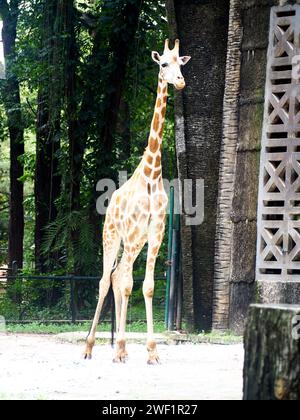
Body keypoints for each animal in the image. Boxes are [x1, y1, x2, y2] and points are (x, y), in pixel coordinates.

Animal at [84, 37, 190, 362]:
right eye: (163, 64)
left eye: (181, 64)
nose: (180, 81)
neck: (151, 174)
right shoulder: (131, 235)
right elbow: (128, 285)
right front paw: (124, 347)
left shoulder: (155, 234)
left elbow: (148, 287)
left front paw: (151, 351)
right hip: (112, 238)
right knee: (107, 280)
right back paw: (91, 346)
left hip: (135, 242)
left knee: (118, 277)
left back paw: (119, 346)